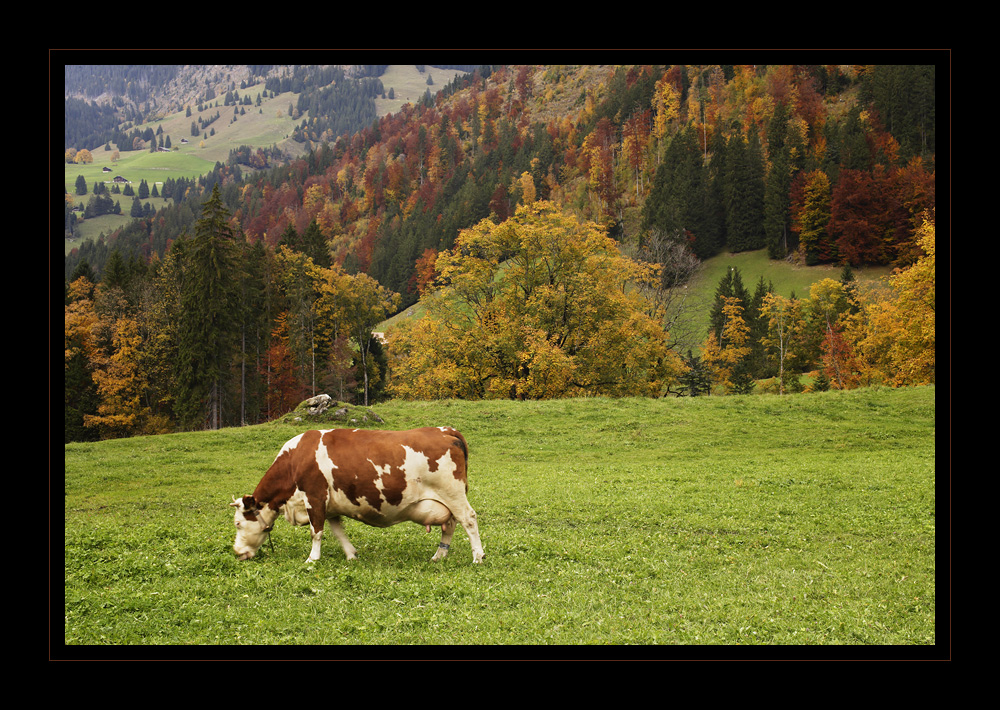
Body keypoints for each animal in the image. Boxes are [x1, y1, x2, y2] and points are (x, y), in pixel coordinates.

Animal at [230, 427, 484, 564]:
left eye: (238, 523)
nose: (237, 552)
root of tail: (446, 431)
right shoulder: (330, 505)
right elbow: (337, 530)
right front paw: (351, 555)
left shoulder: (314, 497)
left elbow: (316, 532)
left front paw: (312, 559)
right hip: (446, 500)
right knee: (450, 525)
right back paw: (439, 556)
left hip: (452, 493)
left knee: (469, 519)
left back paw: (477, 557)